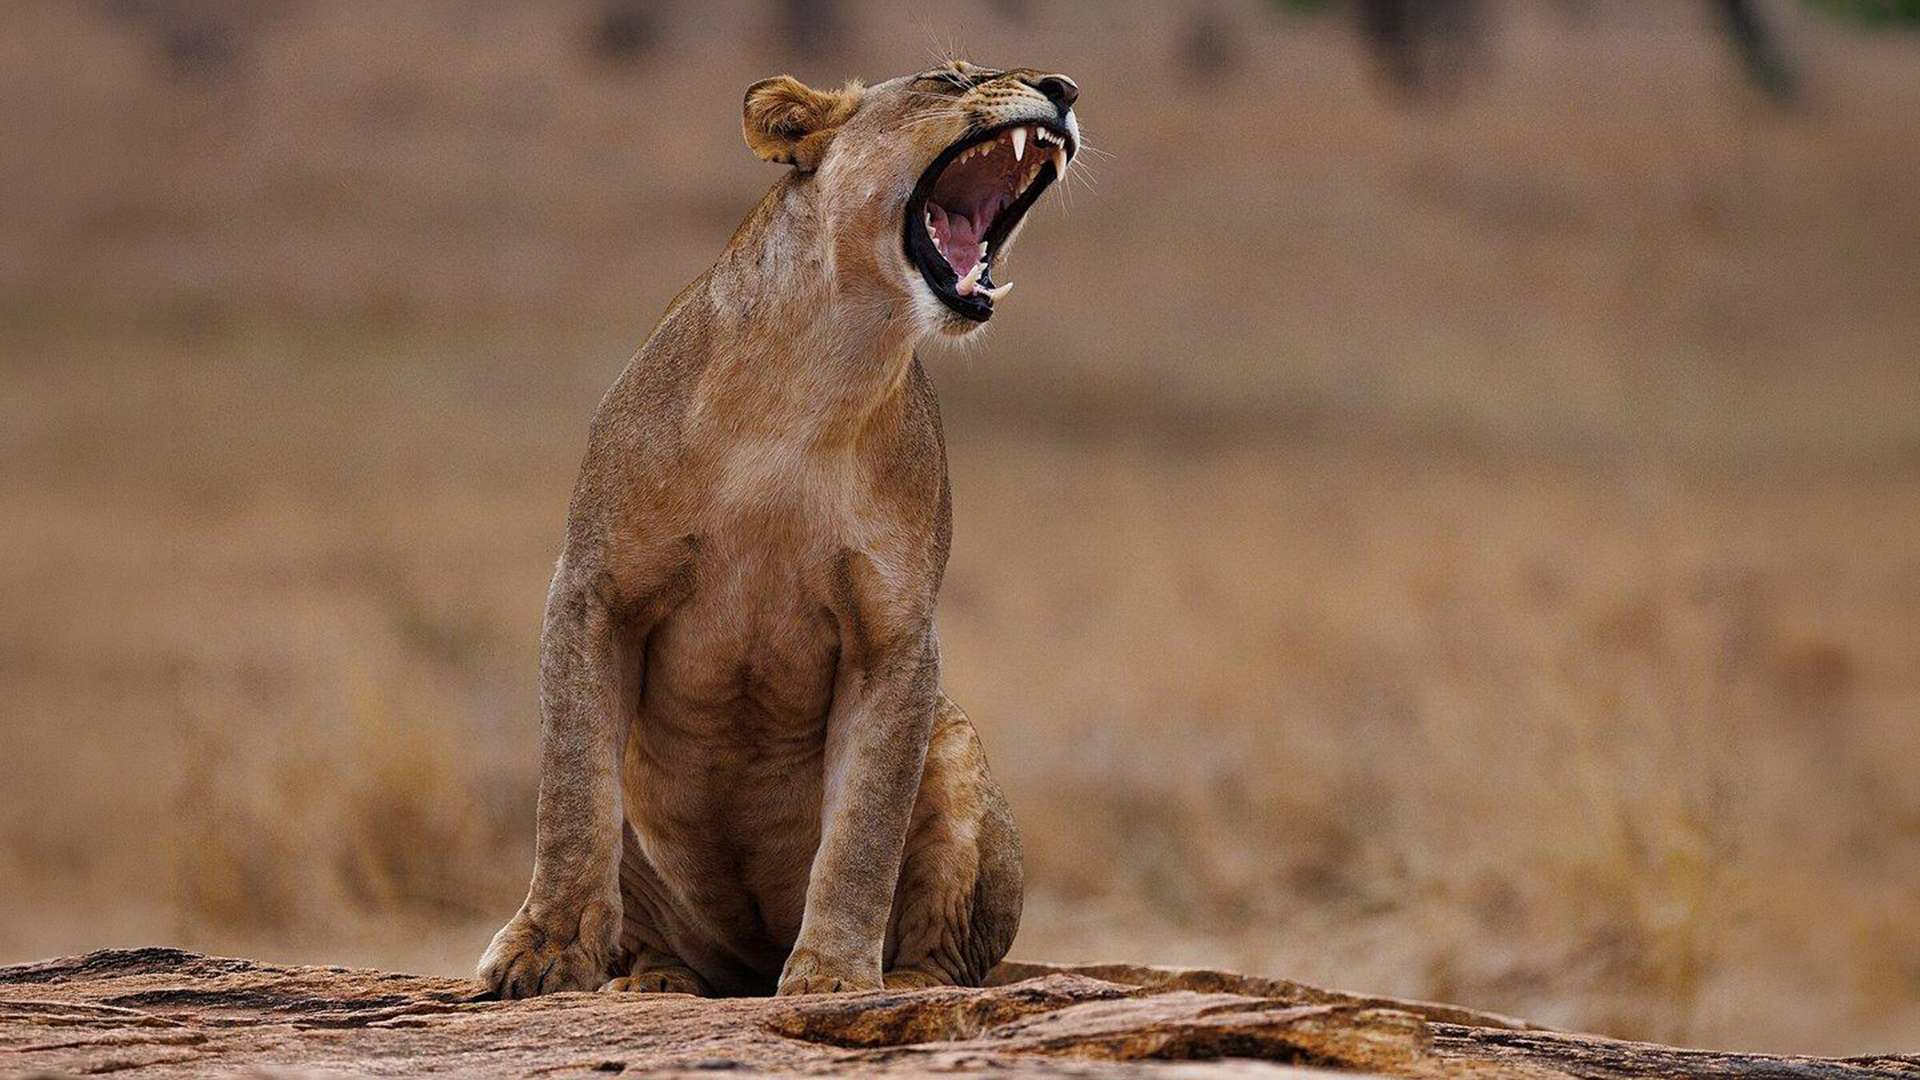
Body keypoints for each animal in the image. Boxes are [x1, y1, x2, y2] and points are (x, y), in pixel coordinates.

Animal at [476, 60, 1081, 999]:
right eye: (950, 78)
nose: (1066, 87)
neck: (823, 370)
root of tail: (746, 968)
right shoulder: (592, 590)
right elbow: (572, 793)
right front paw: (542, 952)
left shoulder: (895, 636)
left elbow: (863, 829)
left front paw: (834, 978)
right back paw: (651, 981)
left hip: (954, 743)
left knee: (952, 952)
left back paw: (909, 984)